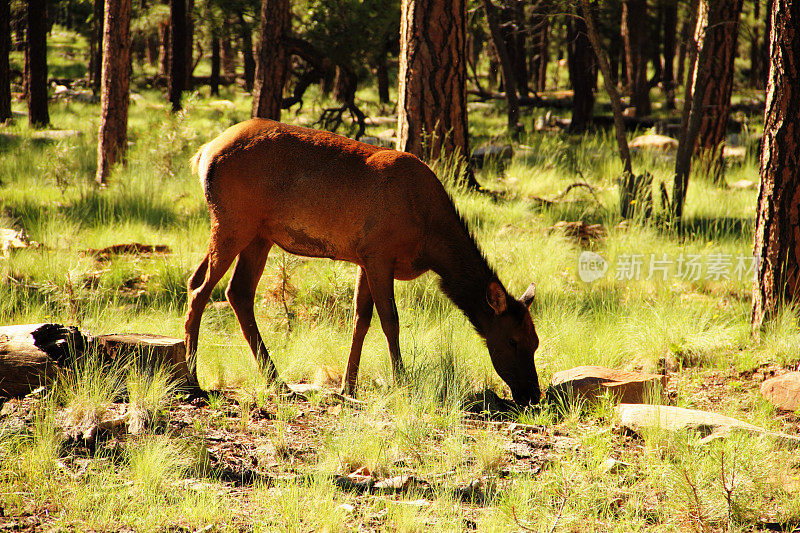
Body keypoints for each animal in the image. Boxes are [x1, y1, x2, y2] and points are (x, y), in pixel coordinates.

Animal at [184, 118, 540, 406]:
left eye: (536, 342)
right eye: (513, 341)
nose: (533, 395)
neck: (430, 239)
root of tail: (203, 153)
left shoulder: (364, 258)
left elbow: (360, 320)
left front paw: (349, 387)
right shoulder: (380, 253)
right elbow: (390, 320)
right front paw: (402, 382)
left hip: (258, 234)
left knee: (234, 290)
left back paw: (277, 381)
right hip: (234, 221)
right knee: (201, 288)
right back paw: (192, 379)